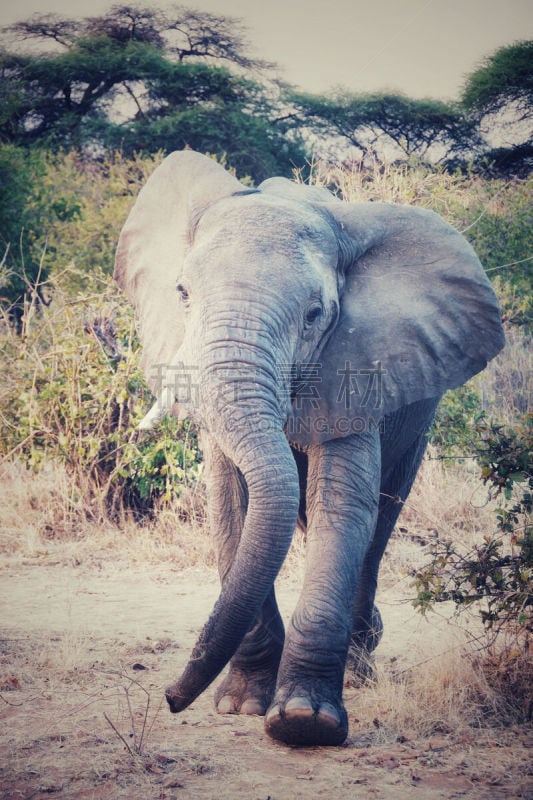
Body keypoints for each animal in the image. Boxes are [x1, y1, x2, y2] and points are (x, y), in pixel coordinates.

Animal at [114, 148, 504, 744]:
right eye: (181, 294)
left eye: (315, 315)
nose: (171, 699)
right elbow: (231, 504)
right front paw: (243, 706)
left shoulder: (361, 367)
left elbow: (340, 507)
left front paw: (303, 723)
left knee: (381, 521)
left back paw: (360, 668)